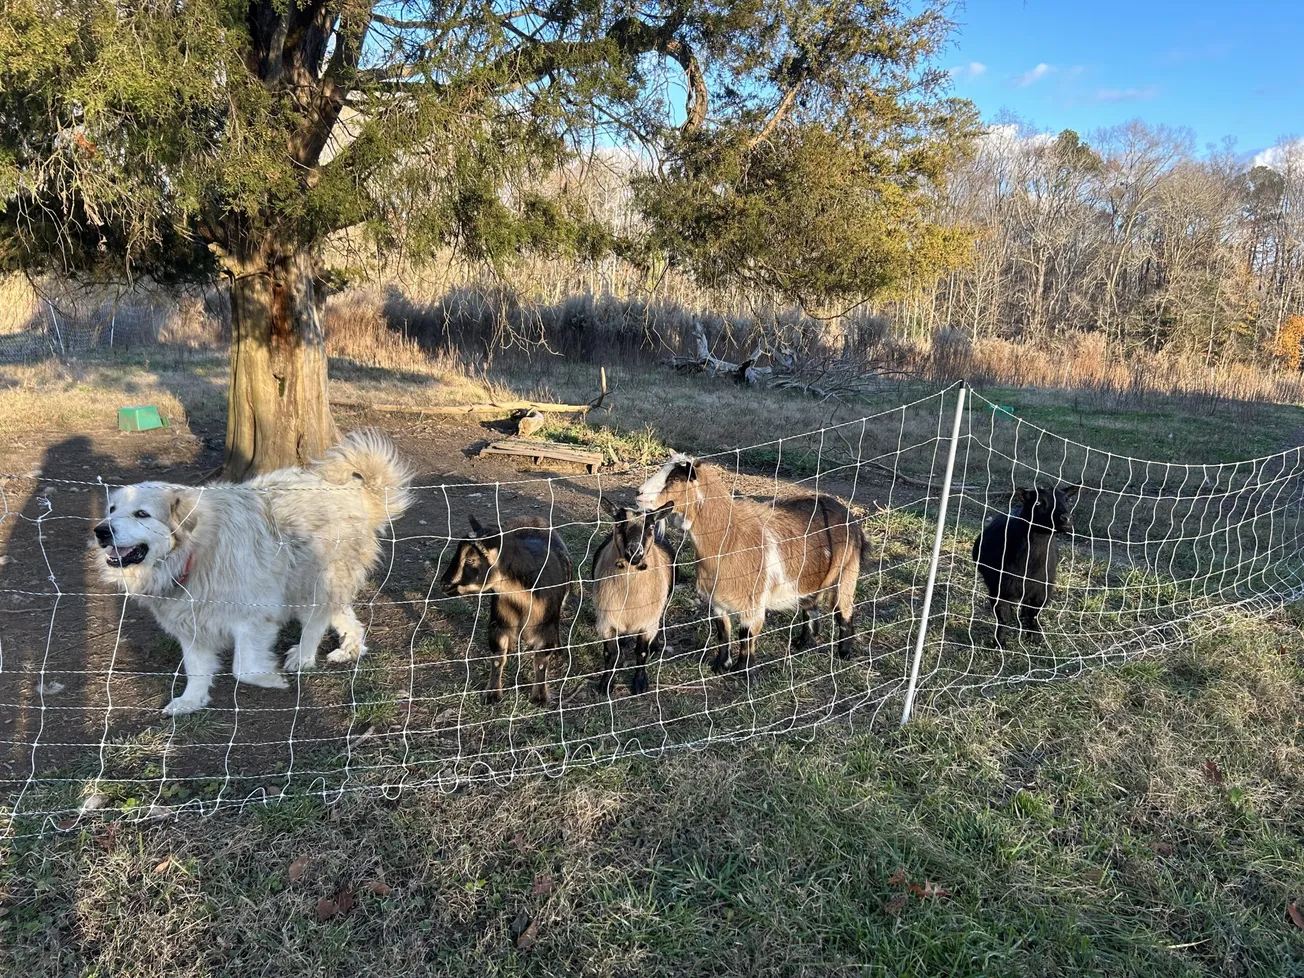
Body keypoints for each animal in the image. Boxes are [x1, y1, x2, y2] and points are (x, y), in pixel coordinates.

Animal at [93, 432, 412, 714]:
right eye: (111, 509)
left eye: (141, 514)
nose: (100, 531)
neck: (194, 552)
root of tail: (357, 492)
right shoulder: (191, 625)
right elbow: (195, 669)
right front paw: (191, 701)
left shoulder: (254, 616)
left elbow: (242, 669)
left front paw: (270, 679)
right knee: (345, 618)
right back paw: (349, 649)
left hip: (311, 583)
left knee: (316, 622)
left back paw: (304, 656)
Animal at [970, 485, 1079, 652]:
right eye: (1038, 502)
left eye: (1067, 499)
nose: (1066, 519)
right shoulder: (999, 590)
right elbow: (1003, 619)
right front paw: (1000, 644)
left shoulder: (1042, 591)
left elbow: (1034, 615)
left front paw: (1034, 637)